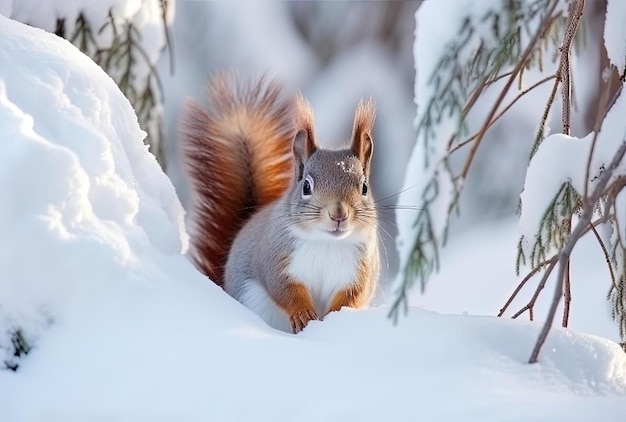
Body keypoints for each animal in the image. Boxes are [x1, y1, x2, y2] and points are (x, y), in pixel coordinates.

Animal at [178, 75, 378, 332]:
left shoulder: (360, 270)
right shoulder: (276, 257)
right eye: (306, 186)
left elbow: (352, 296)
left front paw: (335, 319)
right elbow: (284, 288)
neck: (327, 243)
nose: (338, 214)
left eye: (364, 187)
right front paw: (302, 313)